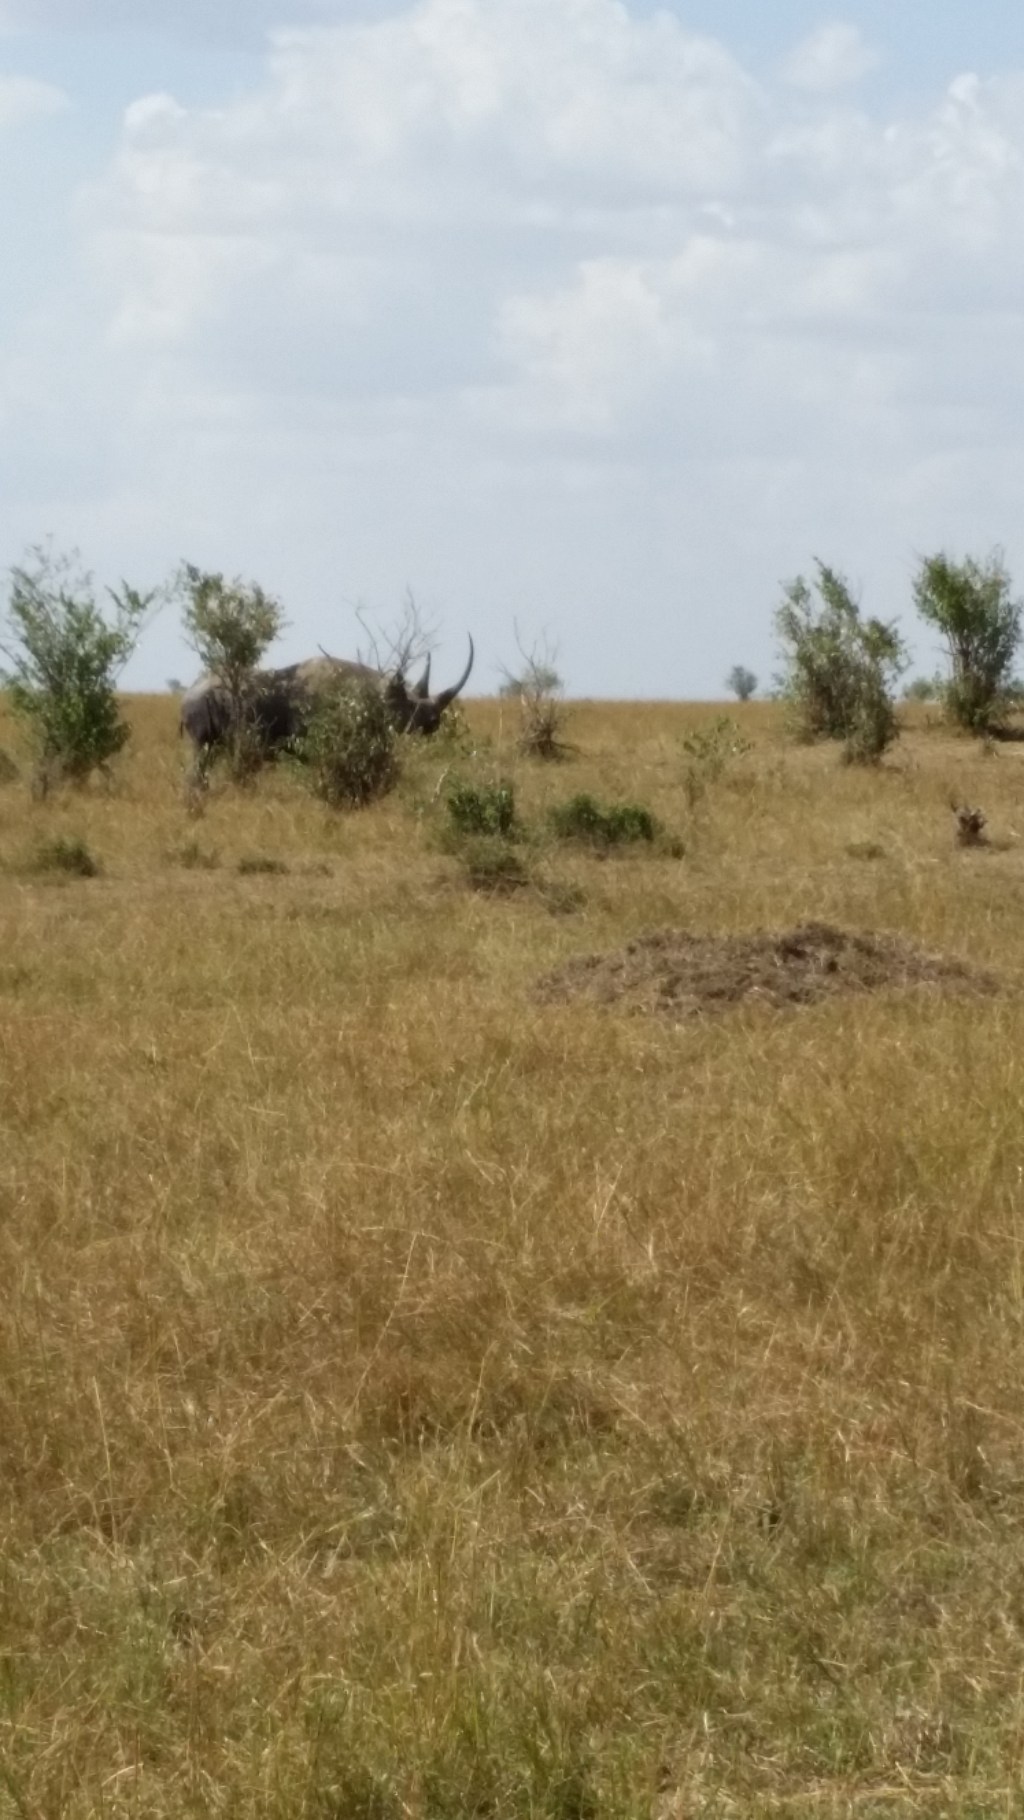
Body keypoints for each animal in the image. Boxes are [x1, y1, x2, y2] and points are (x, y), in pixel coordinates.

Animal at [179, 637, 474, 766]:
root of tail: (187, 693)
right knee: (200, 752)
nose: (433, 721)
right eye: (403, 707)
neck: (372, 695)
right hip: (202, 705)